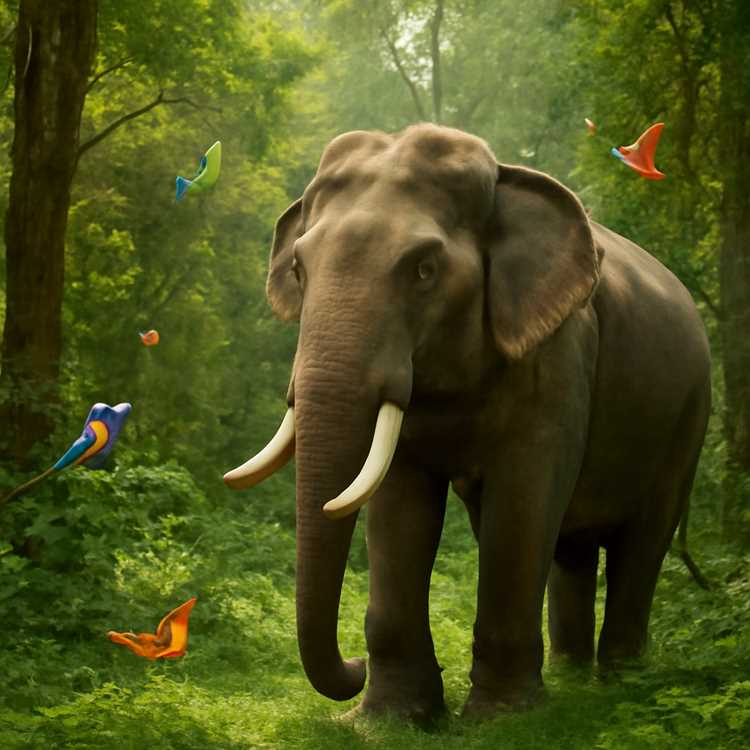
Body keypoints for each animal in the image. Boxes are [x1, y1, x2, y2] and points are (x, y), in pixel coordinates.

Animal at [224, 123, 711, 721]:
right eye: (298, 269)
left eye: (424, 271)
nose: (353, 669)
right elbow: (400, 504)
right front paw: (394, 721)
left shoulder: (559, 353)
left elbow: (523, 501)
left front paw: (501, 719)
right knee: (571, 548)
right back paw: (572, 676)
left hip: (689, 415)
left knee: (643, 540)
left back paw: (618, 682)